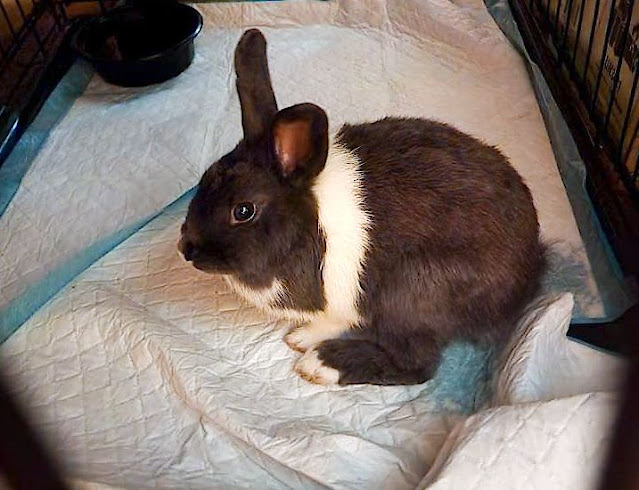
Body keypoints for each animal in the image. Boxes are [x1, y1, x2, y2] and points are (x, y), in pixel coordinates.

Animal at [178, 28, 545, 386]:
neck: (307, 226)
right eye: (206, 176)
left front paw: (303, 339)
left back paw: (320, 365)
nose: (186, 248)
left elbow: (340, 320)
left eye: (243, 211)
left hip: (414, 289)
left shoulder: (348, 298)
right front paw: (301, 337)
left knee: (417, 365)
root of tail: (527, 279)